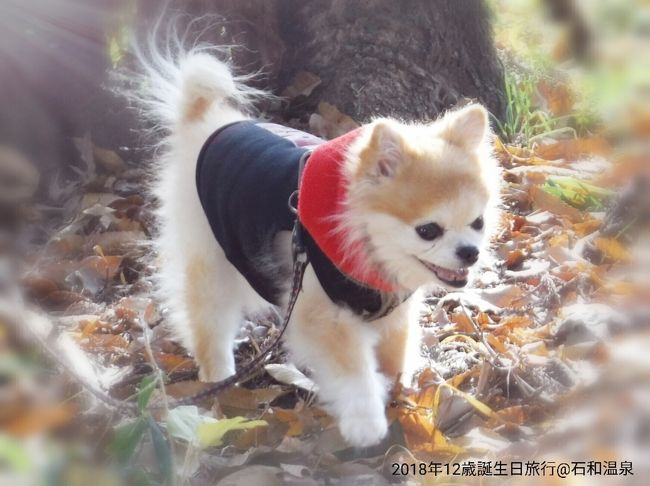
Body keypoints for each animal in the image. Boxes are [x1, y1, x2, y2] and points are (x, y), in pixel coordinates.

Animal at [137, 48, 498, 444]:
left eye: (477, 223)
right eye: (428, 230)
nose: (469, 252)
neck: (363, 241)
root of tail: (205, 120)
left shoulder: (394, 310)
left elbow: (394, 353)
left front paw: (400, 391)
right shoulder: (323, 313)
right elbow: (353, 372)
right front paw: (366, 423)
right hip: (210, 259)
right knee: (209, 320)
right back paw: (218, 375)